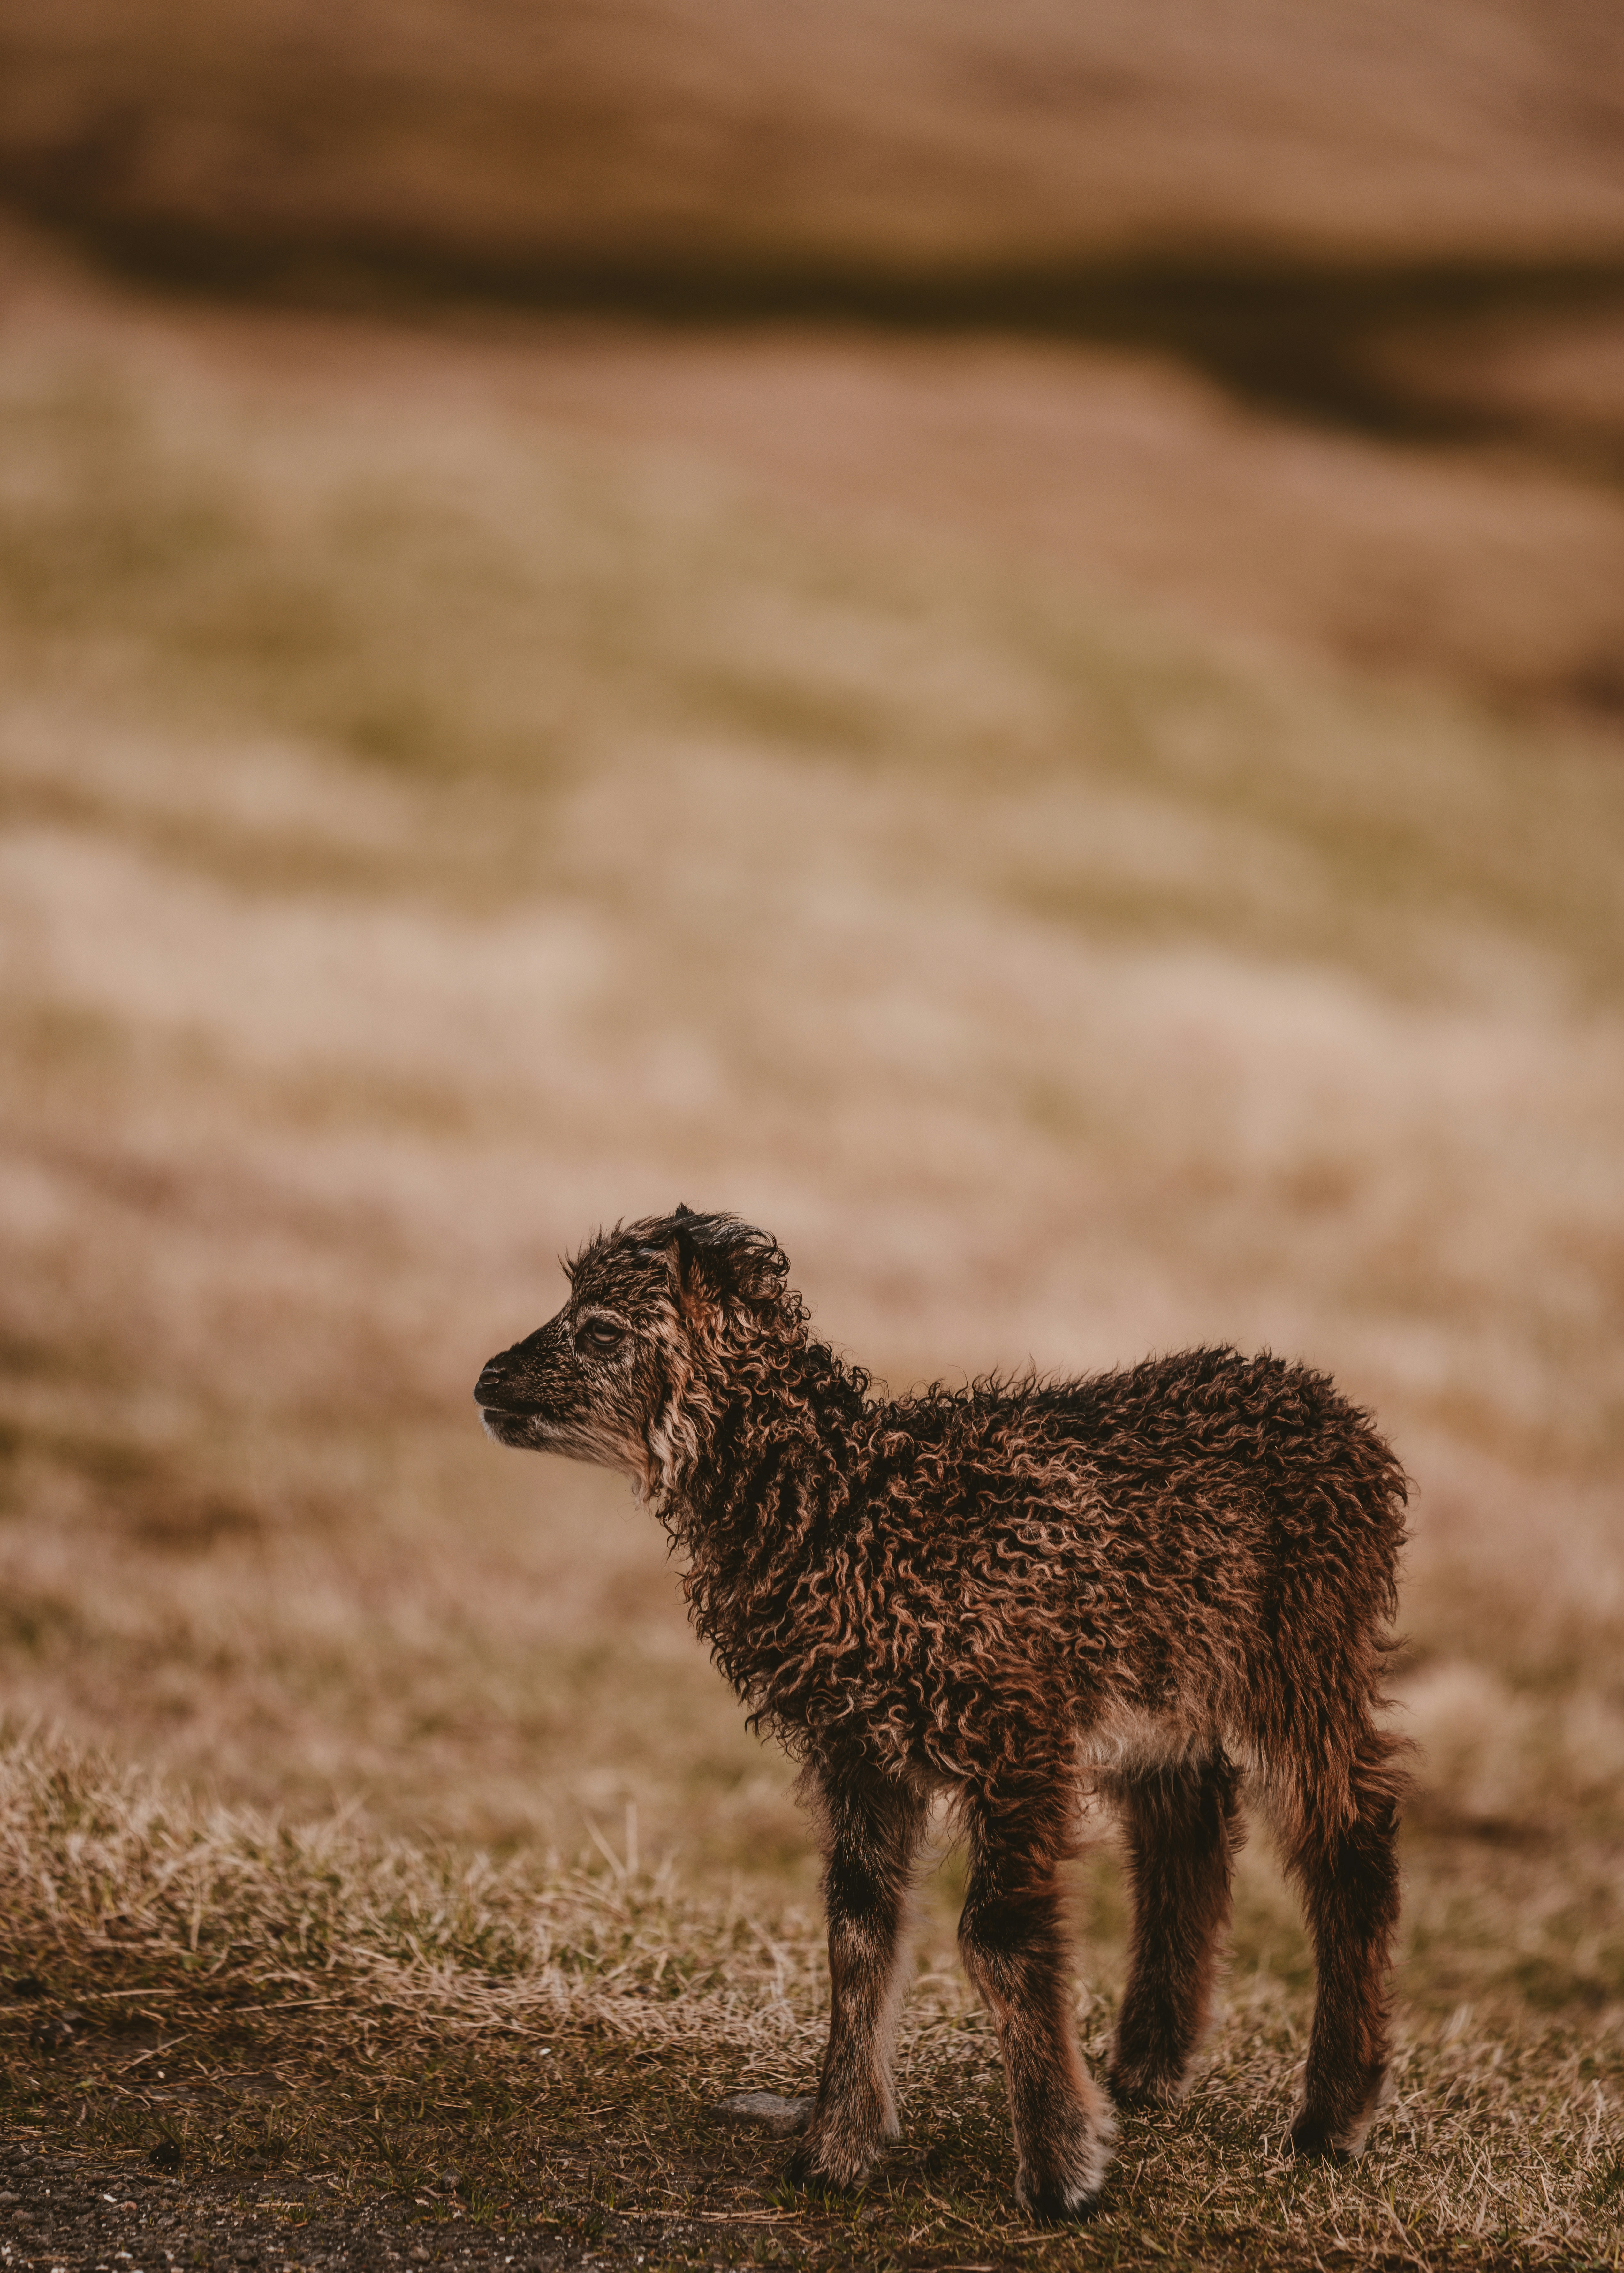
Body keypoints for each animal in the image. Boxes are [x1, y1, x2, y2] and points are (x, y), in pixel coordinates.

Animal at [475, 1206, 1409, 2222]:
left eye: (603, 1330)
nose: (488, 1381)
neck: (850, 1511)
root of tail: (1334, 1411)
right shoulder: (856, 1746)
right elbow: (858, 1926)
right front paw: (836, 2148)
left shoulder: (1015, 1727)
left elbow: (996, 1934)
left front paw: (1060, 2170)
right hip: (1164, 1683)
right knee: (1187, 1822)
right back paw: (1146, 2068)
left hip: (1305, 1657)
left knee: (1345, 1836)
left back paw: (1329, 2119)